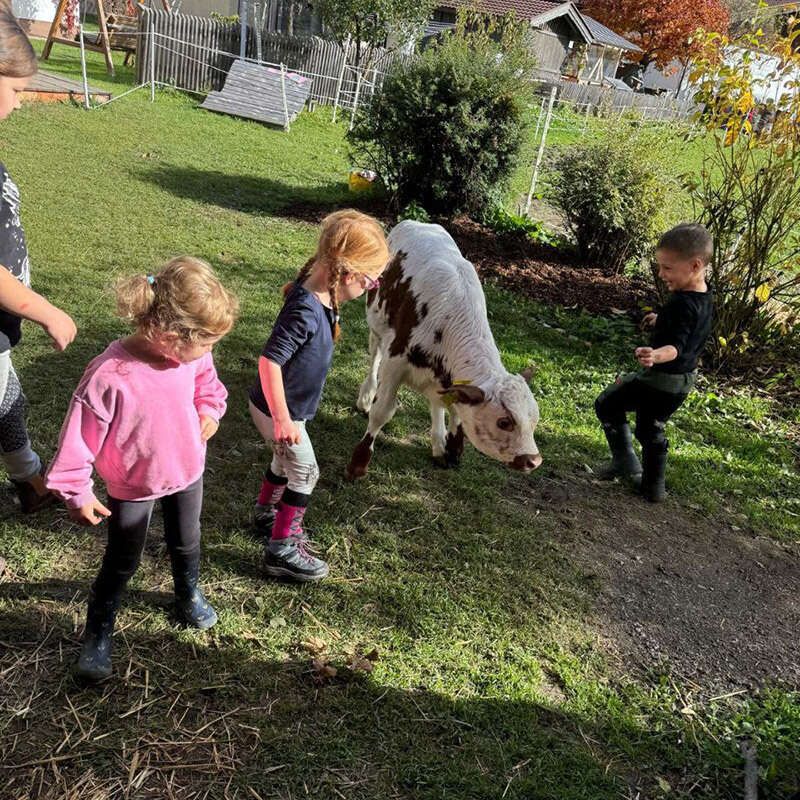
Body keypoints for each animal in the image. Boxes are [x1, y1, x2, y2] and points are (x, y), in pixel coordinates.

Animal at [346, 220, 544, 482]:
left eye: (534, 418)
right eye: (504, 422)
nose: (533, 460)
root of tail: (415, 222)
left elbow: (454, 410)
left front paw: (451, 448)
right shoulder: (395, 363)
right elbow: (382, 412)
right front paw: (358, 464)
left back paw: (438, 444)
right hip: (376, 321)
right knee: (373, 358)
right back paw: (366, 398)